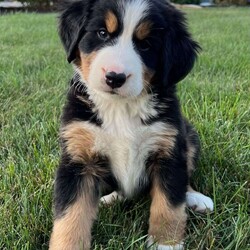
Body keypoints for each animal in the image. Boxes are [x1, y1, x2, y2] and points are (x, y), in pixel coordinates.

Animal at [49, 0, 214, 249]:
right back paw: (109, 198)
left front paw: (166, 243)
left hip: (189, 136)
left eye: (145, 45)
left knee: (184, 181)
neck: (120, 109)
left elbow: (169, 204)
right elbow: (71, 215)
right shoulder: (79, 158)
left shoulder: (168, 150)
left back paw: (196, 198)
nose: (115, 77)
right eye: (102, 33)